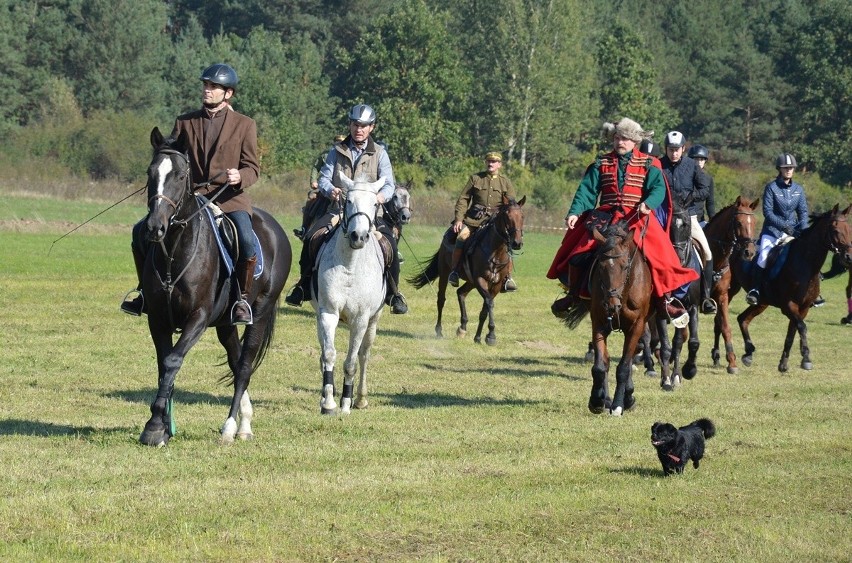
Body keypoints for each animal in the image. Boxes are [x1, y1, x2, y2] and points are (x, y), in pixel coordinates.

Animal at [136, 126, 290, 446]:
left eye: (181, 175)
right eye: (150, 172)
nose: (155, 227)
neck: (175, 251)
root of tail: (275, 228)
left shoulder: (198, 318)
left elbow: (173, 361)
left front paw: (155, 427)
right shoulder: (157, 319)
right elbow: (163, 366)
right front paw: (162, 426)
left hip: (260, 312)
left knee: (243, 367)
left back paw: (230, 427)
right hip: (226, 323)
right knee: (235, 358)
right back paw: (244, 423)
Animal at [312, 175, 386, 414]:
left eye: (375, 204)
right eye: (349, 200)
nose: (358, 236)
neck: (350, 267)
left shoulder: (360, 320)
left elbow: (352, 362)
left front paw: (346, 402)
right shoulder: (328, 313)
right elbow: (328, 354)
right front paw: (328, 402)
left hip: (373, 321)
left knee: (364, 355)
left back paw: (360, 398)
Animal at [408, 194, 524, 346]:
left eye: (522, 216)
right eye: (506, 215)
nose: (517, 243)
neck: (495, 252)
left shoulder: (496, 285)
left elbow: (485, 309)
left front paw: (479, 337)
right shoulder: (480, 280)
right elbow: (489, 303)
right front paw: (491, 335)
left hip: (471, 281)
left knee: (461, 293)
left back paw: (462, 327)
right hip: (445, 274)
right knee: (441, 299)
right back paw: (439, 330)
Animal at [704, 196, 764, 372]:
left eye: (754, 222)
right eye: (738, 223)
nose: (749, 252)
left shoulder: (722, 296)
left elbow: (725, 326)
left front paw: (731, 361)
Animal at [736, 205, 848, 372]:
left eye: (850, 228)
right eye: (835, 230)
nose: (849, 257)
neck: (806, 264)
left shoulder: (803, 307)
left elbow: (792, 332)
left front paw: (783, 363)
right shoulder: (788, 305)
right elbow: (802, 327)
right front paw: (806, 357)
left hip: (762, 303)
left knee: (742, 319)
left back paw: (748, 354)